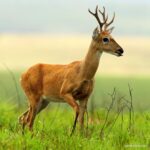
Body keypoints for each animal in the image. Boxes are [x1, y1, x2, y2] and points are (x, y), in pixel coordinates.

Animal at [18, 4, 123, 135]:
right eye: (105, 38)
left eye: (112, 36)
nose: (120, 50)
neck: (83, 73)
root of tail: (22, 75)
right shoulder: (64, 92)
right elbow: (76, 111)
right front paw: (71, 133)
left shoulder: (85, 97)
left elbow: (82, 119)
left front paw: (80, 135)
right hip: (34, 97)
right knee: (29, 121)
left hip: (43, 101)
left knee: (23, 118)